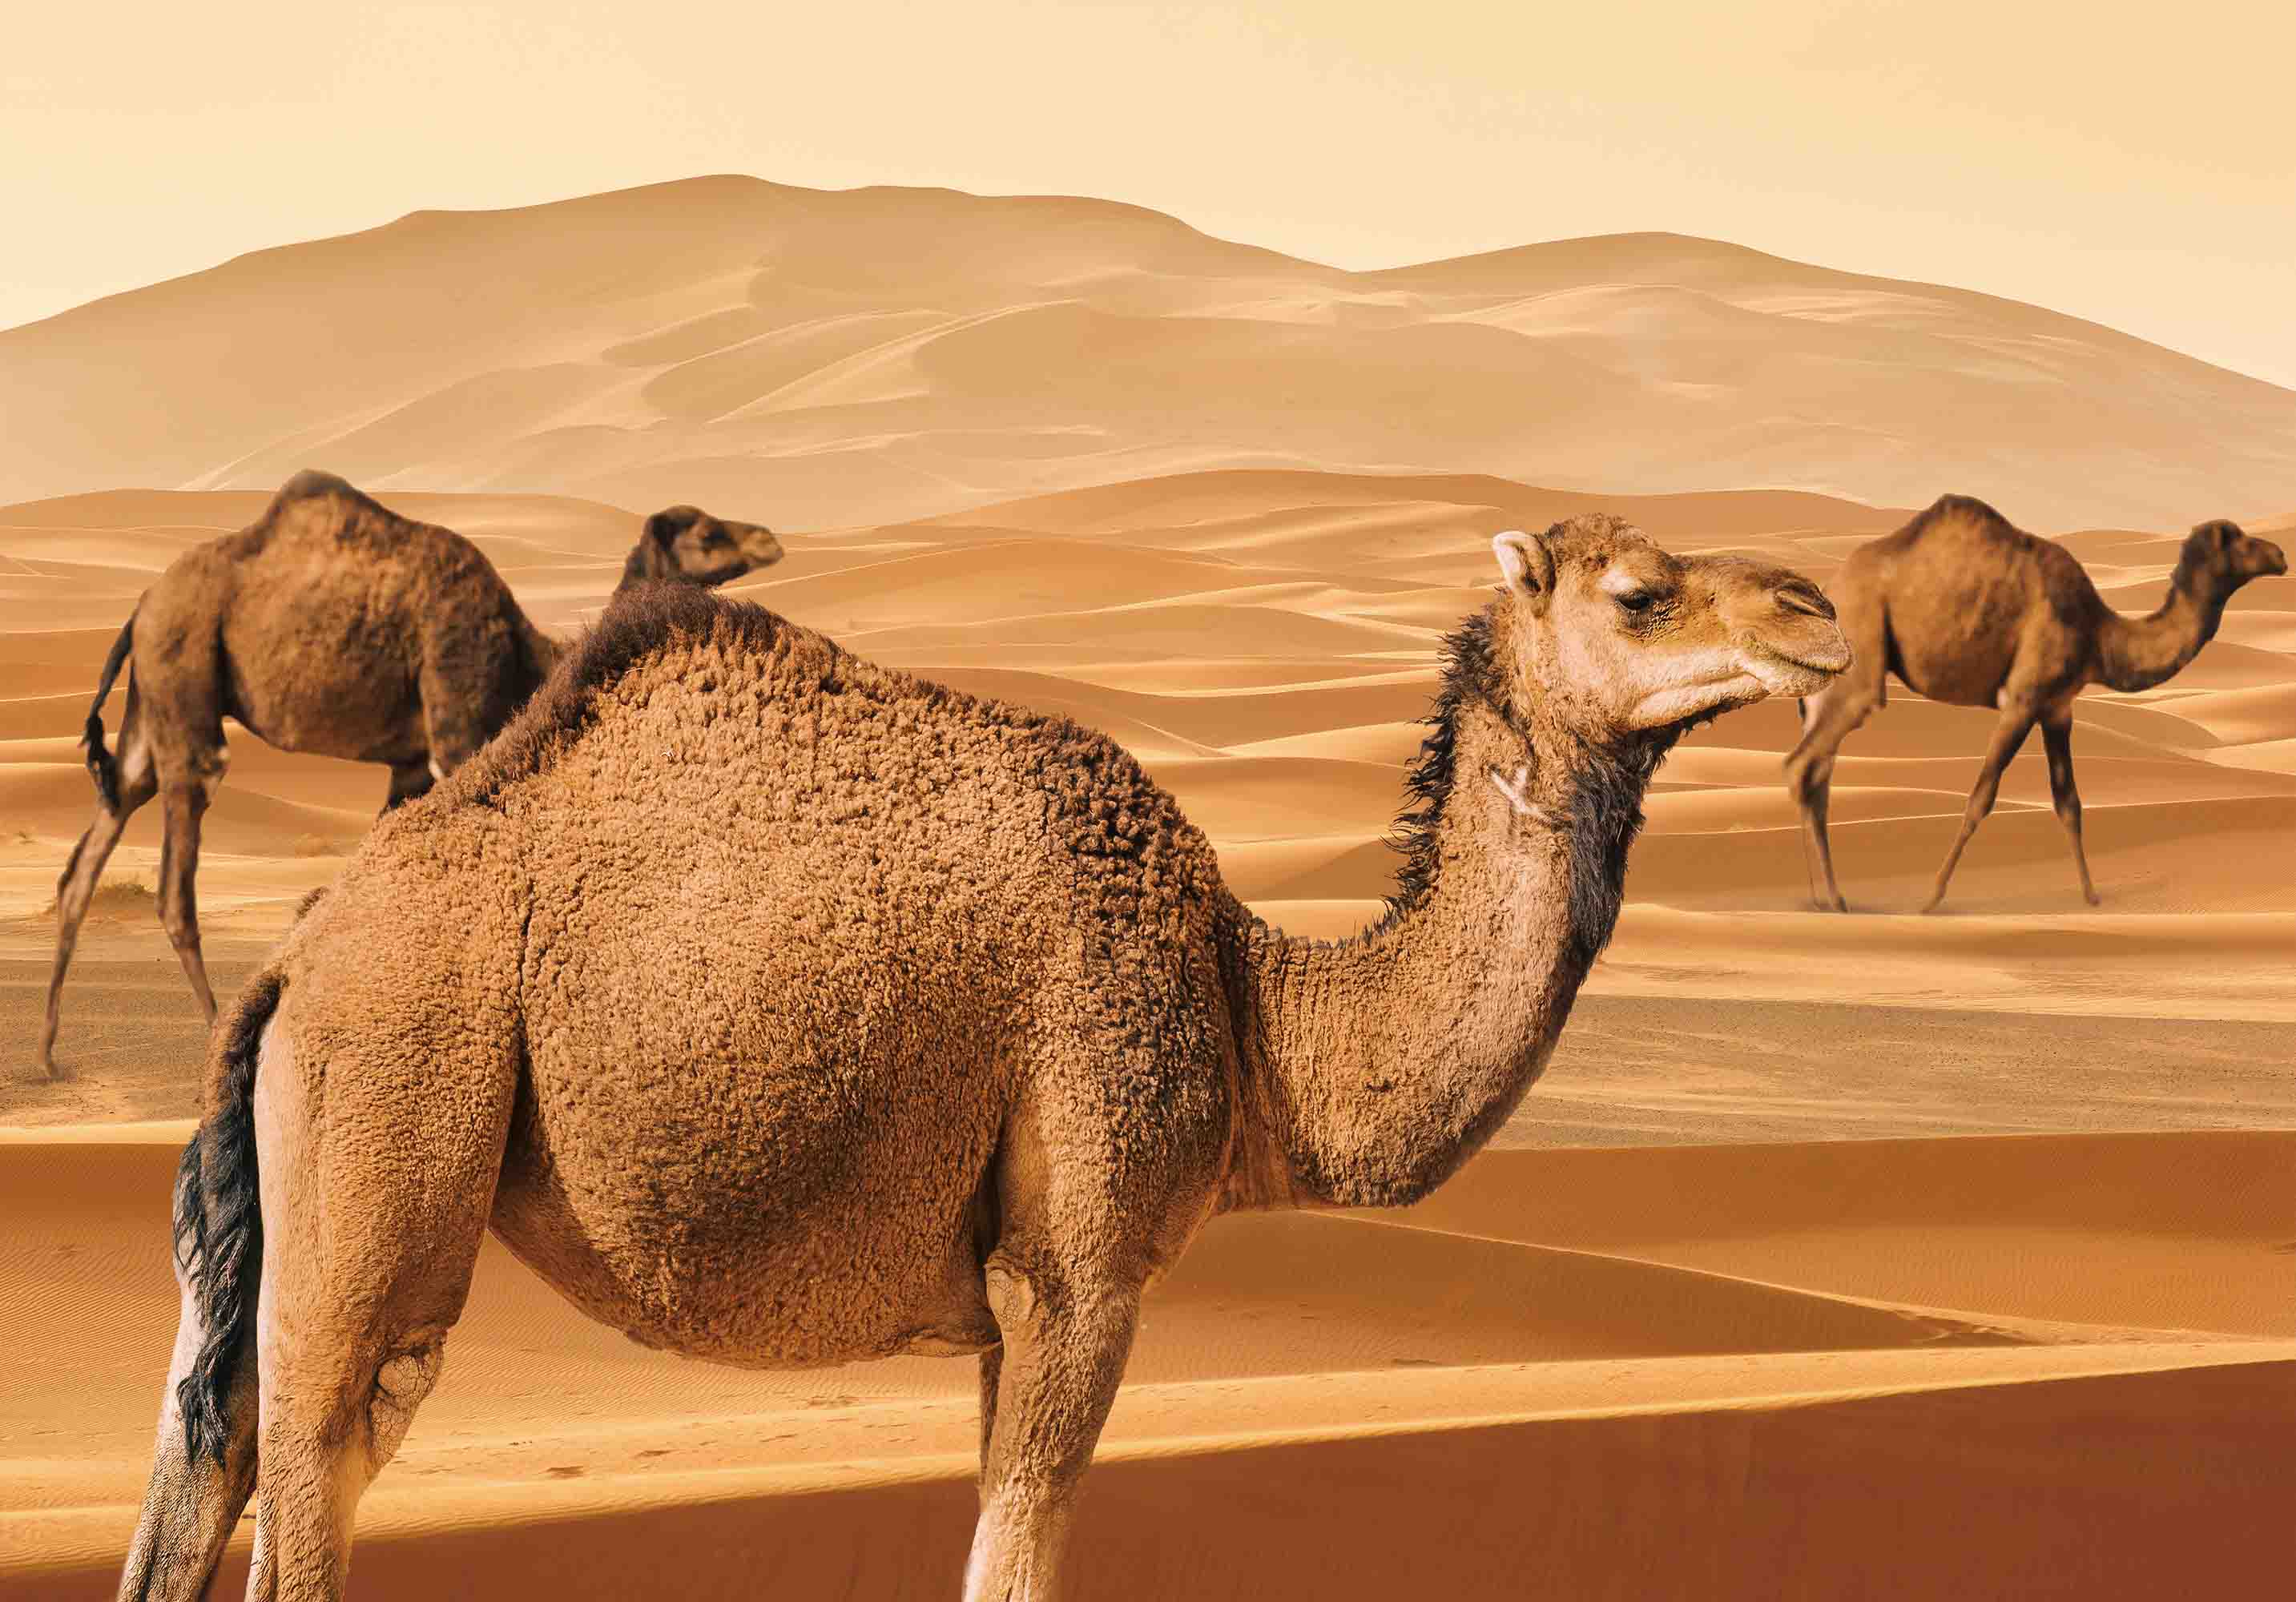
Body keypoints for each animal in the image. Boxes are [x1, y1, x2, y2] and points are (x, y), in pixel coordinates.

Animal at [37, 469, 782, 1078]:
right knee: (175, 881)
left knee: (100, 836)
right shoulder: (456, 719)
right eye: (708, 533)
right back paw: (216, 1039)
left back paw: (47, 1055)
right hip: (184, 667)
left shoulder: (407, 765)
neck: (529, 655)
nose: (770, 538)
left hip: (152, 700)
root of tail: (140, 605)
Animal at [118, 514, 1846, 1602]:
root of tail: (294, 964)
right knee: (318, 1465)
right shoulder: (1076, 1266)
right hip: (395, 1109)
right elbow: (1017, 1561)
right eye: (1638, 592)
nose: (1815, 614)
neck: (1249, 1005)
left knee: (209, 1455)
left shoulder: (1009, 1308)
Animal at [1784, 493, 2285, 913]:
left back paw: (1829, 898)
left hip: (1829, 687)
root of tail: (1830, 593)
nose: (2280, 555)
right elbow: (1980, 798)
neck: (2100, 633)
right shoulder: (2022, 700)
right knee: (1804, 766)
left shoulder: (2058, 707)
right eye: (2239, 538)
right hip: (1863, 653)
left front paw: (2092, 897)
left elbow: (2069, 801)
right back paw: (1830, 901)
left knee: (1816, 776)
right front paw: (1932, 897)